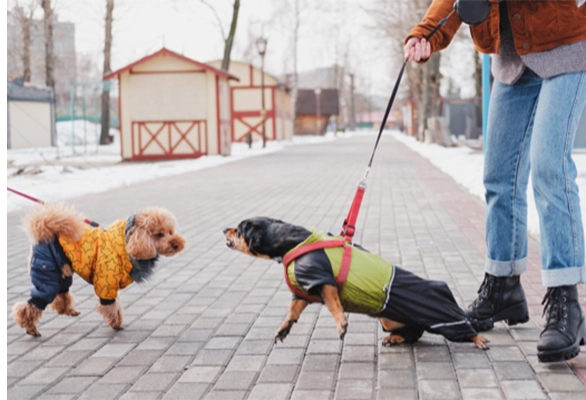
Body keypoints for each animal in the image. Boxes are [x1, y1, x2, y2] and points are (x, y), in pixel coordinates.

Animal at [12, 202, 185, 336]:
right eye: (159, 234)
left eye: (170, 232)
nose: (177, 244)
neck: (127, 243)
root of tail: (43, 232)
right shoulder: (106, 282)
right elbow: (111, 306)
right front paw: (116, 323)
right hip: (47, 272)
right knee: (34, 302)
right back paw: (31, 328)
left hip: (62, 271)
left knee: (61, 293)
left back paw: (68, 311)